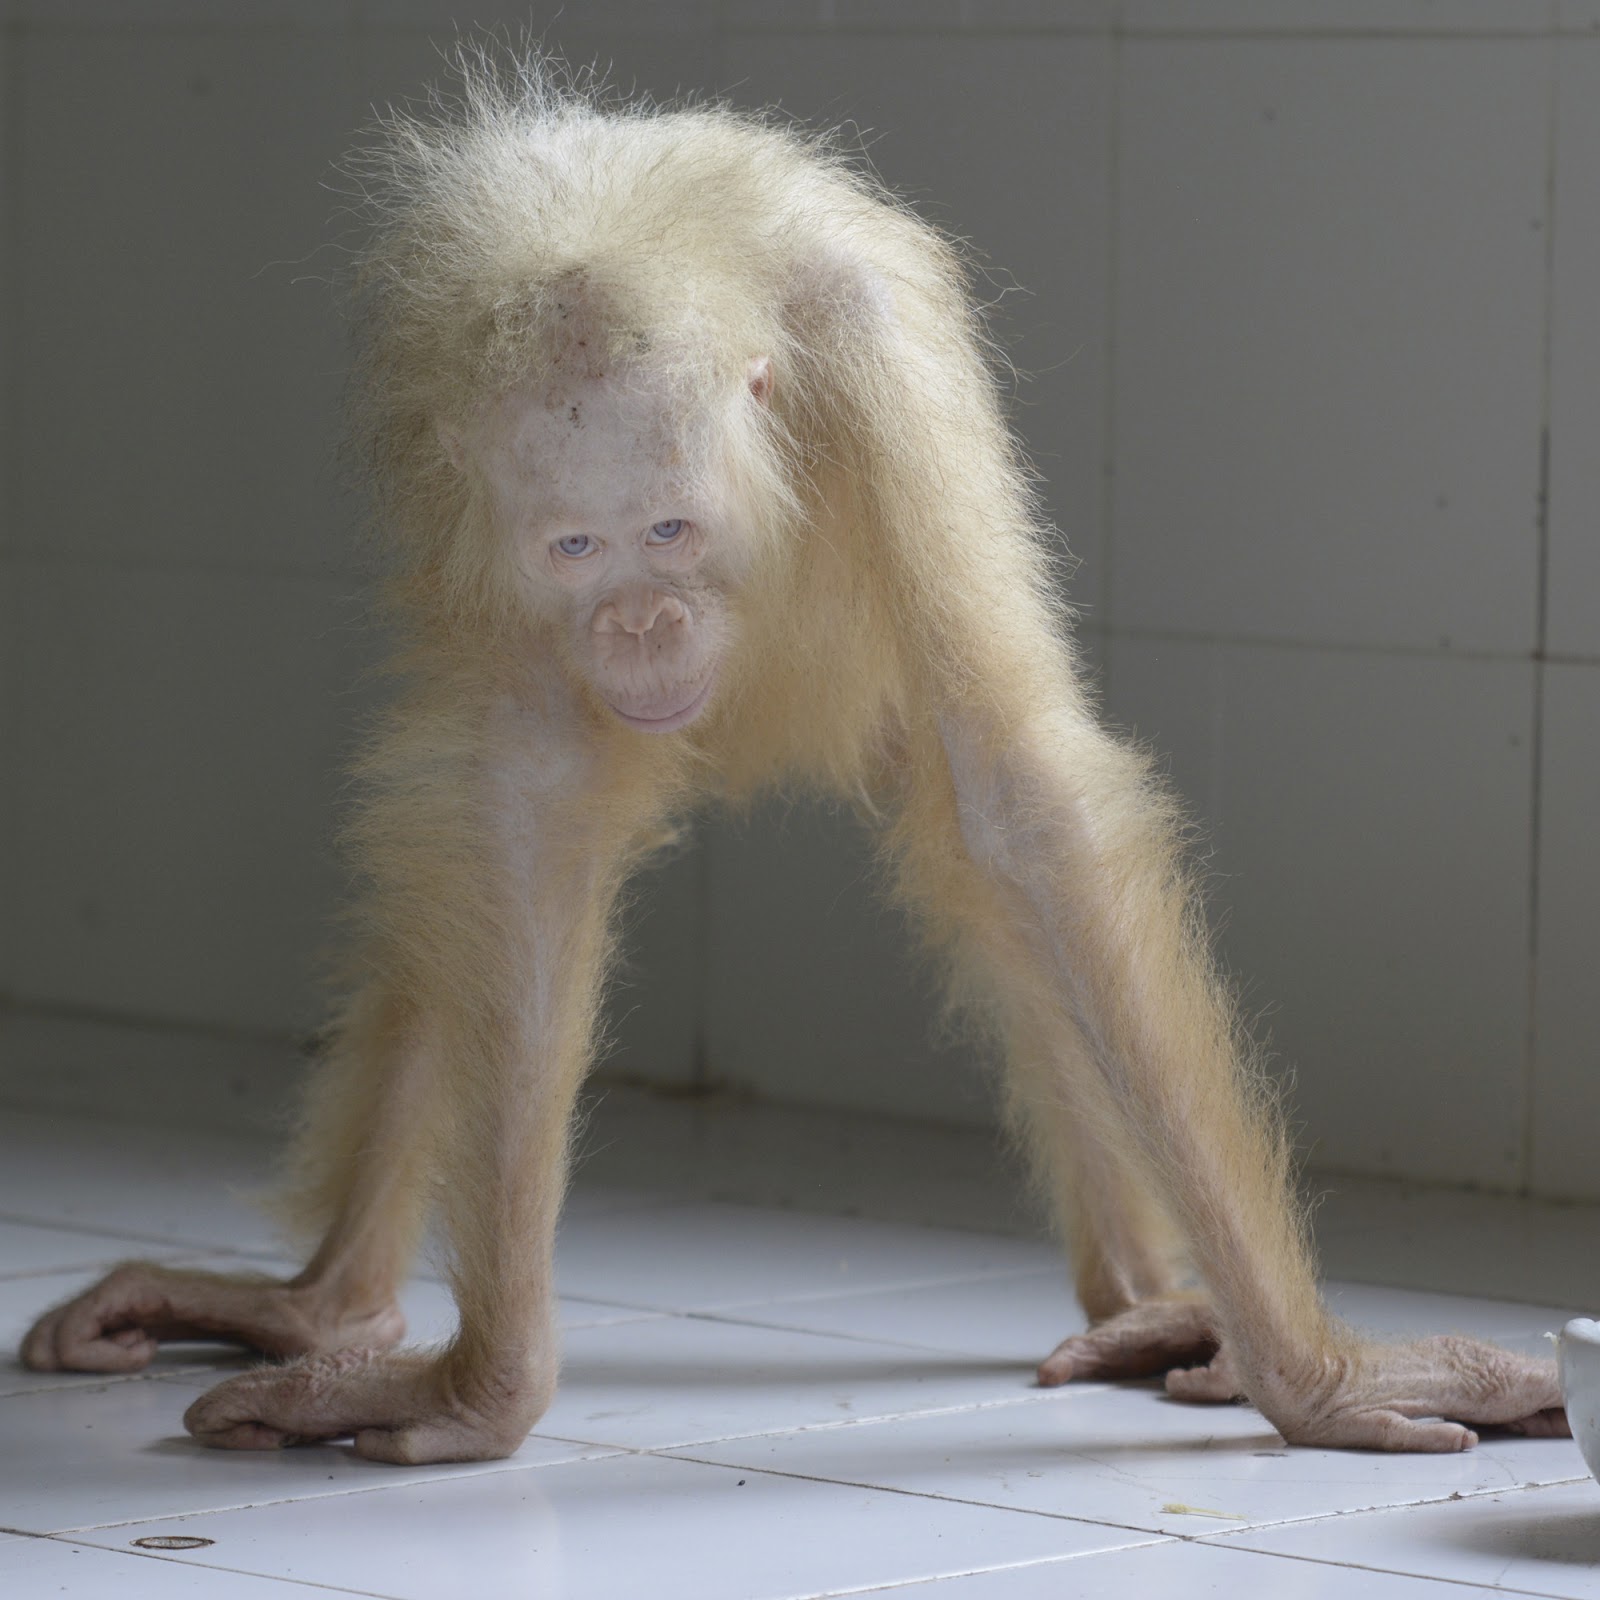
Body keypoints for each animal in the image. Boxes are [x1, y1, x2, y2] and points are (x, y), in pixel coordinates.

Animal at [21, 56, 1566, 1466]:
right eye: (578, 547)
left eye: (670, 532)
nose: (641, 624)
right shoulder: (468, 493)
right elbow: (519, 814)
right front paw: (484, 1385)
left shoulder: (871, 360)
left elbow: (1019, 803)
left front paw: (1315, 1380)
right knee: (452, 859)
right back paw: (324, 1305)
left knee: (980, 855)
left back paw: (1155, 1306)